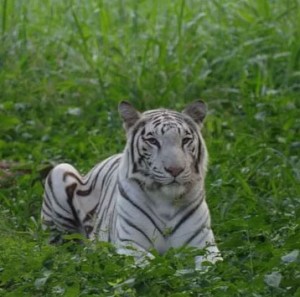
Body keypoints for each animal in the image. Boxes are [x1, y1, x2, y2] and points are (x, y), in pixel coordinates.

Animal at [41, 101, 221, 264]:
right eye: (153, 141)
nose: (175, 170)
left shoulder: (204, 245)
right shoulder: (130, 244)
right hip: (60, 172)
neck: (166, 201)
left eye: (185, 140)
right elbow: (150, 263)